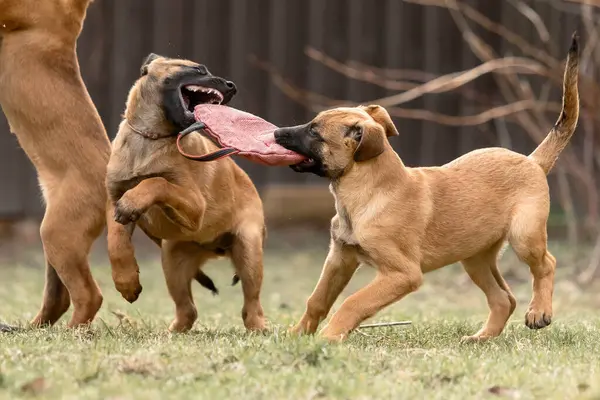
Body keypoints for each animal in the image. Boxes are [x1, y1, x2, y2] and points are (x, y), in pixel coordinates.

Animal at [0, 0, 115, 328]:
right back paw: (33, 328)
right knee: (59, 297)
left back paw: (72, 330)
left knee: (89, 295)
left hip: (57, 234)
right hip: (57, 239)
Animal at [106, 54, 266, 332]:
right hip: (172, 261)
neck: (150, 138)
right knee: (188, 310)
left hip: (249, 250)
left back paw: (259, 328)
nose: (232, 86)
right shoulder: (114, 198)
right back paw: (172, 332)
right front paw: (126, 281)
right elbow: (115, 239)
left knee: (252, 306)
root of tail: (214, 249)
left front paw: (137, 198)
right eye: (199, 69)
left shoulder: (194, 205)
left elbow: (157, 182)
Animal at [274, 36, 580, 340]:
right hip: (475, 257)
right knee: (504, 298)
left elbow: (353, 302)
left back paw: (539, 311)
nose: (276, 133)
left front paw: (328, 337)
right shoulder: (340, 258)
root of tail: (532, 161)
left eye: (314, 131)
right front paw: (297, 334)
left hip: (524, 236)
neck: (365, 194)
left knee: (547, 264)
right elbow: (317, 299)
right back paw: (481, 338)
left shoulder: (402, 274)